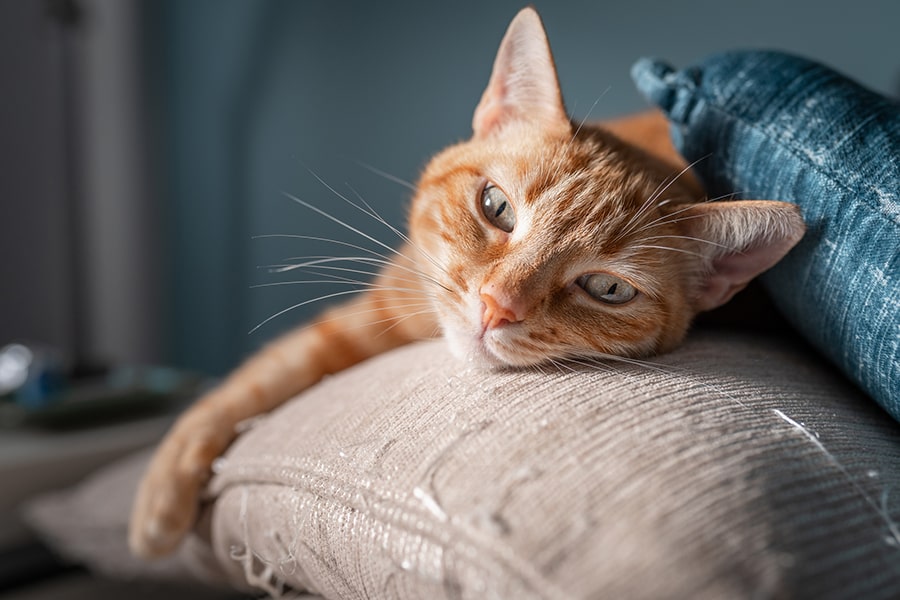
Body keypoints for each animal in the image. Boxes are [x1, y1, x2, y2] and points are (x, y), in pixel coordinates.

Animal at [126, 7, 800, 560]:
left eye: (607, 290)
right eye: (497, 207)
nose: (496, 307)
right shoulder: (379, 310)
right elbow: (263, 375)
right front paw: (163, 488)